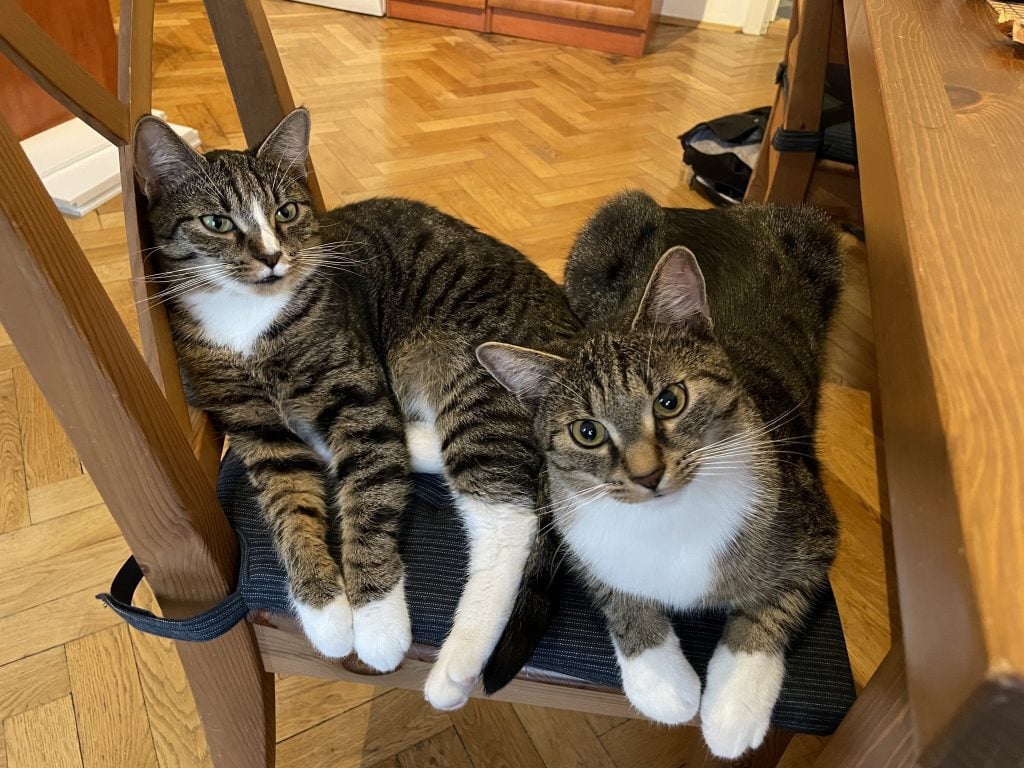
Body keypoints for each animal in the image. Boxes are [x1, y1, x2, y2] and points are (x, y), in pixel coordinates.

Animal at [131, 109, 577, 708]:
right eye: (216, 222)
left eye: (286, 212)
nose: (272, 256)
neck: (247, 321)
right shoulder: (254, 425)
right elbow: (289, 506)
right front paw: (324, 610)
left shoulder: (359, 399)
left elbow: (368, 499)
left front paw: (377, 625)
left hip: (475, 378)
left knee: (508, 519)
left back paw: (454, 669)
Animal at [477, 191, 839, 757]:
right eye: (587, 432)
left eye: (670, 401)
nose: (648, 474)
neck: (669, 523)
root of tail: (708, 210)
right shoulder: (581, 543)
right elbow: (618, 596)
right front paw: (662, 681)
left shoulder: (815, 530)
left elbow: (775, 606)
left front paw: (734, 705)